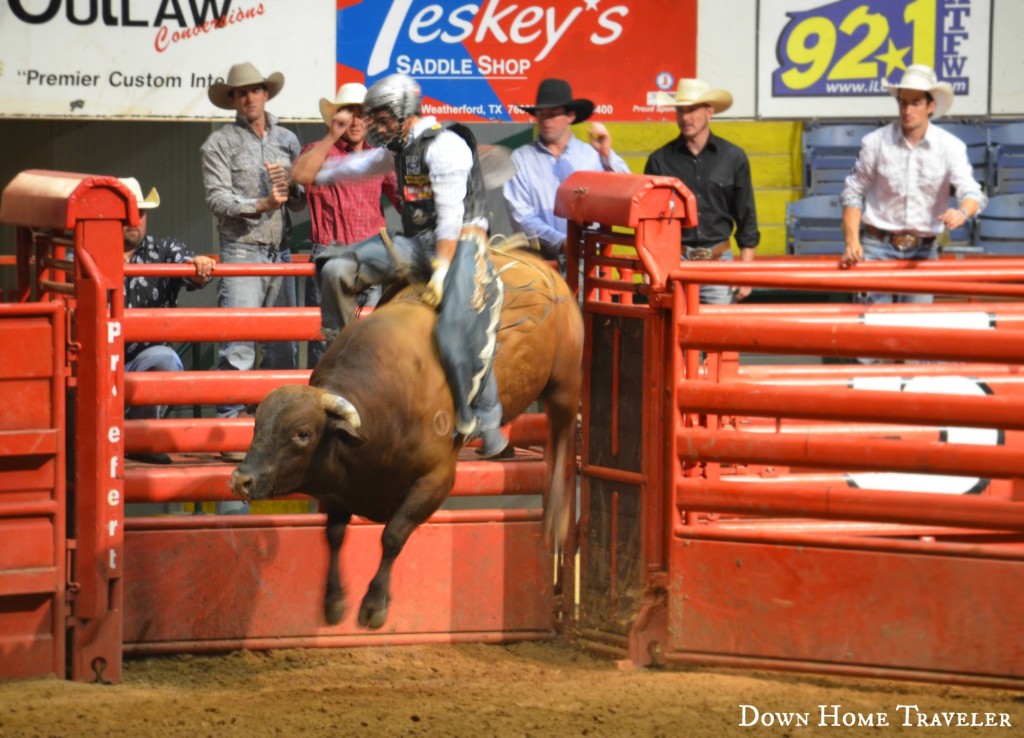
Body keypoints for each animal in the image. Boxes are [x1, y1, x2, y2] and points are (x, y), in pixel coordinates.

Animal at [231, 247, 585, 626]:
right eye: (258, 426)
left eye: (302, 433)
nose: (241, 480)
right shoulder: (340, 485)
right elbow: (335, 534)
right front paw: (334, 600)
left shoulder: (435, 481)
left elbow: (392, 535)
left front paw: (374, 604)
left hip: (564, 384)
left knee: (563, 439)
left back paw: (556, 521)